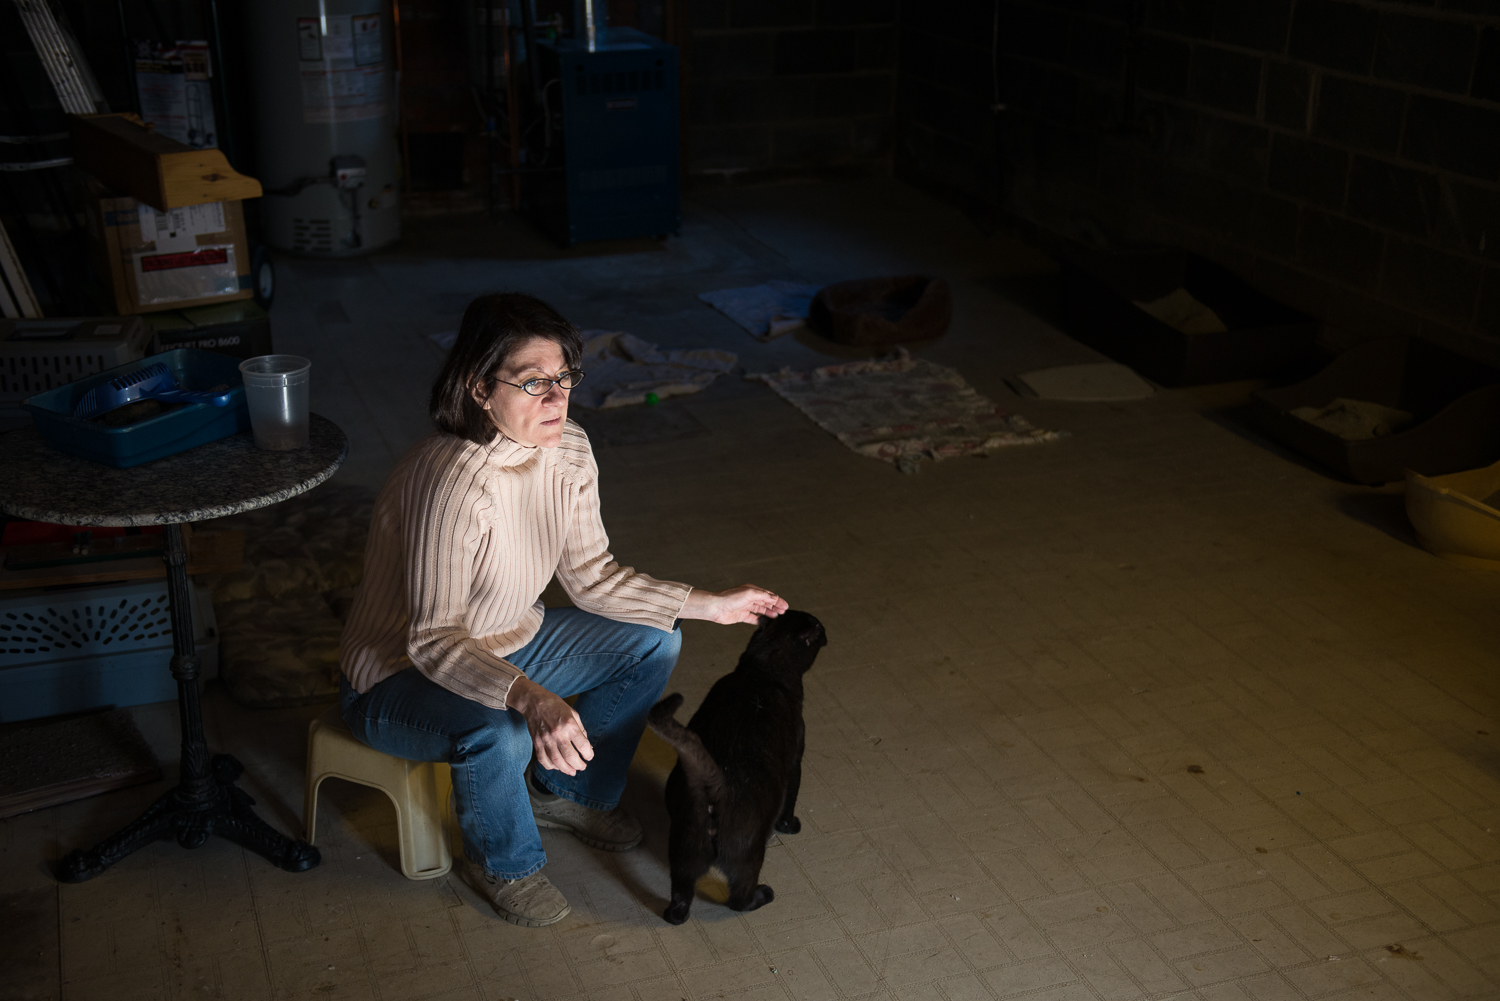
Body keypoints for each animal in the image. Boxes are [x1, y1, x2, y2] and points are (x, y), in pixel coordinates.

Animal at [648, 606, 834, 930]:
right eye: (818, 627)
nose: (826, 631)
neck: (762, 672)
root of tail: (717, 785)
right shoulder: (796, 760)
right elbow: (792, 798)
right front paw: (790, 826)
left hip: (684, 851)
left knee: (681, 897)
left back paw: (675, 916)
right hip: (750, 853)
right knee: (738, 899)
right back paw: (763, 895)